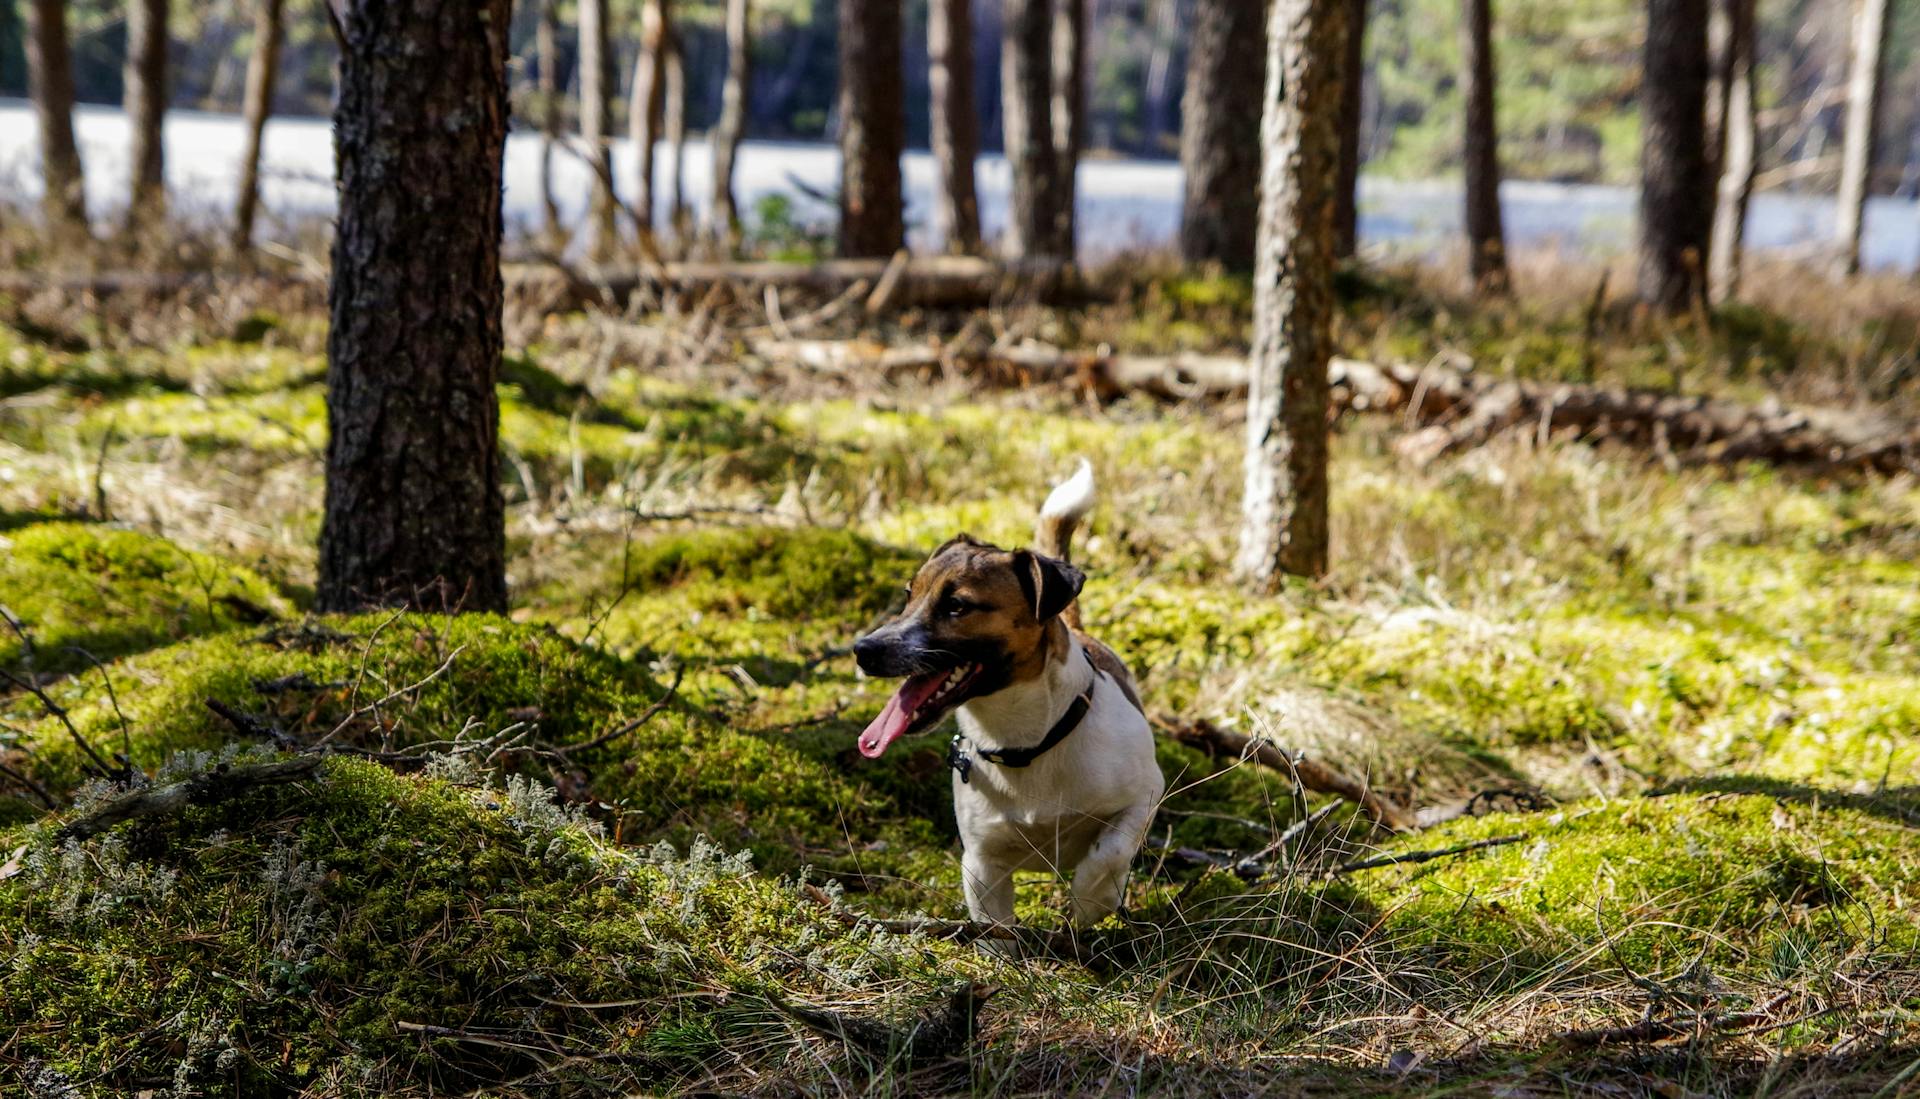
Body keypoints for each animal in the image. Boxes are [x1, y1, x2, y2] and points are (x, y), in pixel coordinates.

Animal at [860, 463, 1167, 926]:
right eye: (908, 595)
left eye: (957, 606)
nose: (863, 650)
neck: (1027, 744)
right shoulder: (983, 863)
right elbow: (995, 926)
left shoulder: (1144, 794)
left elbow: (1108, 853)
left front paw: (1092, 899)